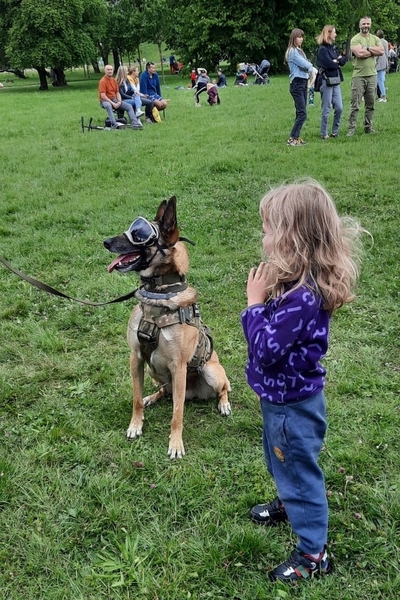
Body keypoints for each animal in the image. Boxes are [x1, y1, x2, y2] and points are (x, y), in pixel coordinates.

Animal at [104, 195, 231, 458]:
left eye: (138, 234)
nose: (106, 242)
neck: (158, 296)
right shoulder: (136, 358)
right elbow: (136, 399)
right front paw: (136, 424)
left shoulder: (179, 366)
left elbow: (177, 413)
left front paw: (175, 444)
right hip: (154, 370)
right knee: (165, 392)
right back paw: (153, 397)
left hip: (211, 372)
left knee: (221, 388)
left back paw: (224, 404)